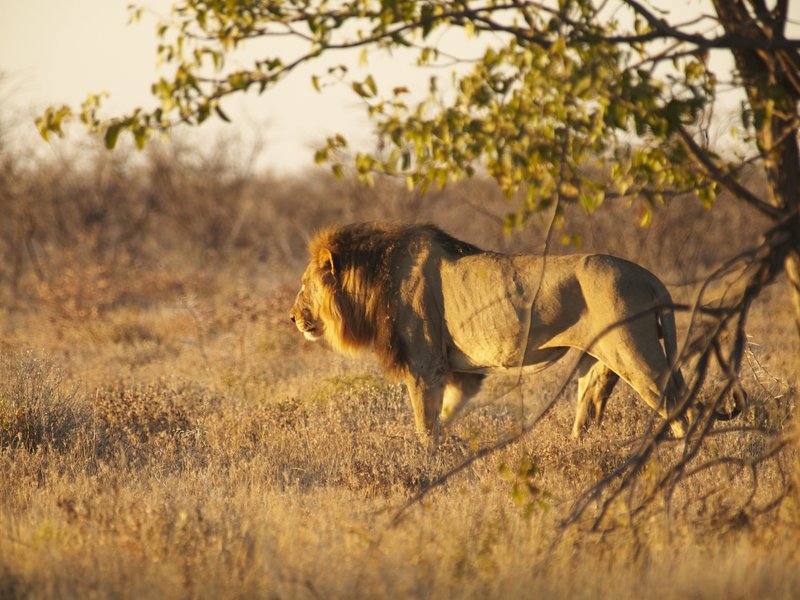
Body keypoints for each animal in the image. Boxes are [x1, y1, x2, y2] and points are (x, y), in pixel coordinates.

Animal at [291, 222, 703, 444]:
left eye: (304, 284)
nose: (292, 318)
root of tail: (650, 276)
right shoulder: (460, 373)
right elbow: (445, 417)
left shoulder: (425, 366)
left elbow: (425, 426)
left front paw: (426, 466)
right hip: (600, 362)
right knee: (589, 414)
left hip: (636, 354)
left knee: (681, 410)